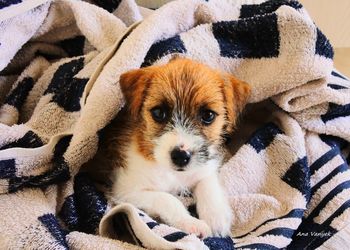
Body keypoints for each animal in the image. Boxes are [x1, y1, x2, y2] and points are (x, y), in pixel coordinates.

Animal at [95, 58, 250, 238]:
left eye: (208, 115)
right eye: (158, 113)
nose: (181, 156)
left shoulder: (203, 167)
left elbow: (207, 183)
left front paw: (217, 217)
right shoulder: (127, 191)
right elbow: (168, 199)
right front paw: (191, 223)